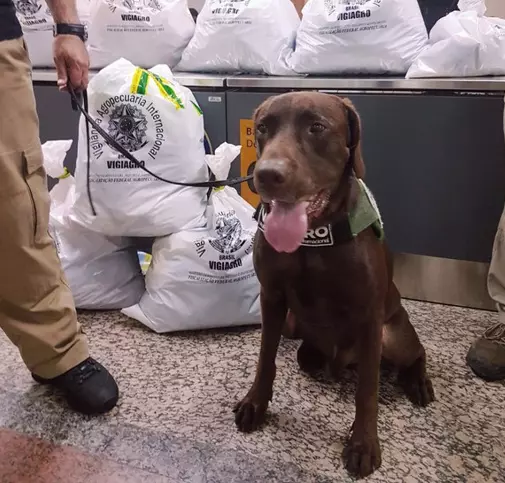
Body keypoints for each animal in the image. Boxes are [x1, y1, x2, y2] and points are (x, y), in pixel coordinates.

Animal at [232, 92, 434, 478]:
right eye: (262, 127)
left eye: (317, 127)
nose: (266, 175)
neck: (312, 239)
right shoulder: (272, 298)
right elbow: (265, 358)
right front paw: (255, 403)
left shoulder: (369, 317)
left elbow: (367, 390)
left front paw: (363, 444)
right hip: (294, 325)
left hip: (391, 335)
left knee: (415, 354)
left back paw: (417, 382)